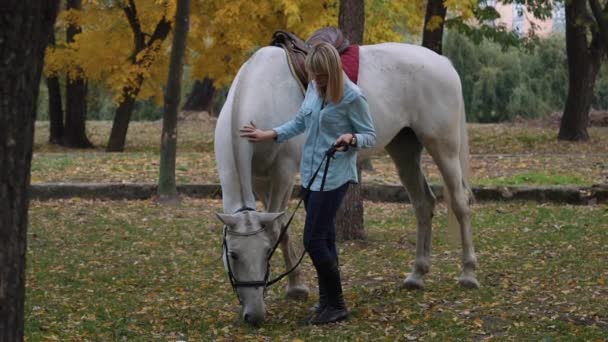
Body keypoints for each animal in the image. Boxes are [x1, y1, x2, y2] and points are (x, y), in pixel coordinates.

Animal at [216, 43, 478, 326]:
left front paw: (297, 287)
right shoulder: (260, 181)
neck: (263, 90)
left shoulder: (283, 172)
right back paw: (417, 275)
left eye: (266, 253)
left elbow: (277, 229)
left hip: (444, 147)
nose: (254, 315)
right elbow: (280, 226)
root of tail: (443, 62)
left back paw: (468, 274)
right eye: (233, 255)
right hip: (404, 148)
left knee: (460, 203)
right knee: (423, 204)